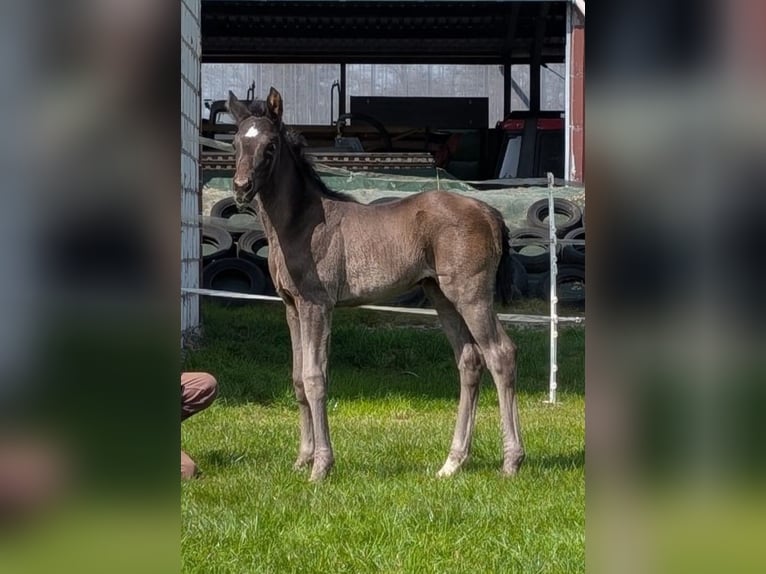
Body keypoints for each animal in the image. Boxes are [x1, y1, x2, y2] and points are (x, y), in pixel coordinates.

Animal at [226, 87, 525, 481]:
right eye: (235, 143)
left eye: (270, 145)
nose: (241, 188)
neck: (300, 224)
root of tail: (491, 213)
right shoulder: (291, 306)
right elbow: (297, 379)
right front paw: (302, 459)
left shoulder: (317, 304)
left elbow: (315, 377)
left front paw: (321, 466)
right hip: (441, 296)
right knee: (470, 361)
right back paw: (452, 462)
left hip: (471, 296)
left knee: (501, 354)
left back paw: (511, 461)